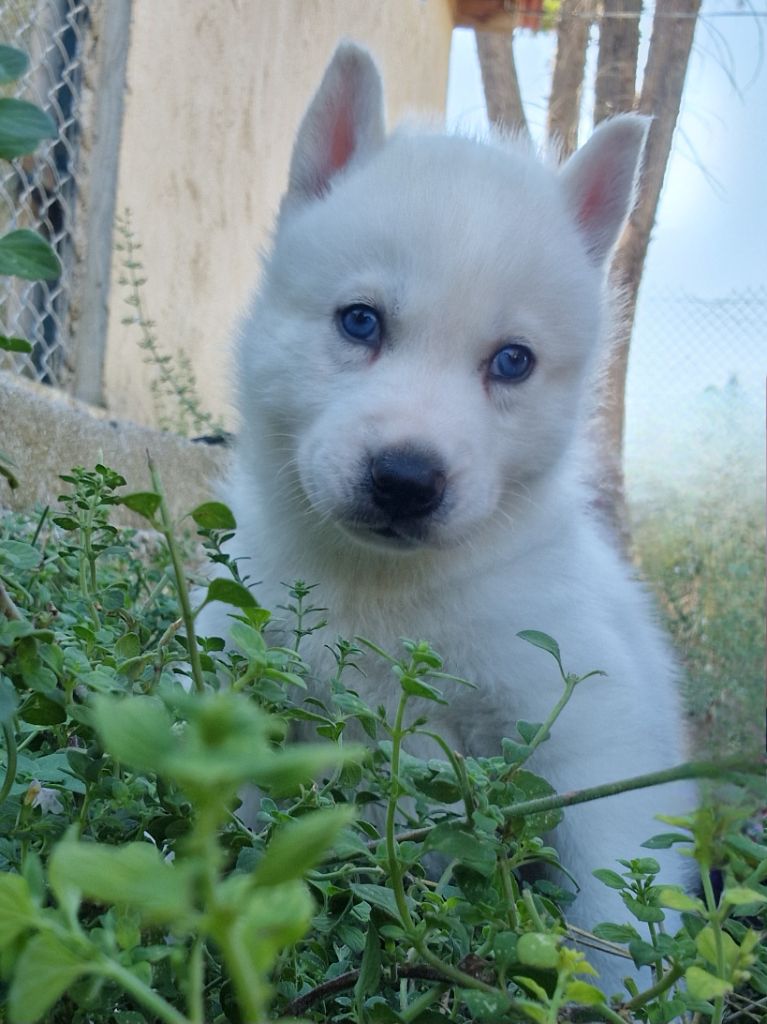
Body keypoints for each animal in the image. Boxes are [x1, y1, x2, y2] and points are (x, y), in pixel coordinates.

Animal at [206, 44, 696, 987]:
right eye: (360, 321)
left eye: (511, 362)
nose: (405, 480)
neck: (381, 590)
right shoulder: (238, 662)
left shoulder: (593, 730)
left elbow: (614, 891)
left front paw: (620, 987)